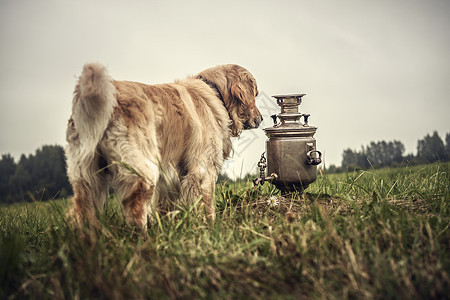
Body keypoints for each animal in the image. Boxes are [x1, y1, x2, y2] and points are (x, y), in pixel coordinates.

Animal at [67, 63, 264, 227]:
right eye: (255, 94)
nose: (261, 118)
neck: (214, 92)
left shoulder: (170, 178)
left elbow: (166, 208)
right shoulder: (202, 170)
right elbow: (207, 206)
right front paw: (210, 228)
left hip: (88, 174)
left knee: (83, 208)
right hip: (142, 169)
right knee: (135, 209)